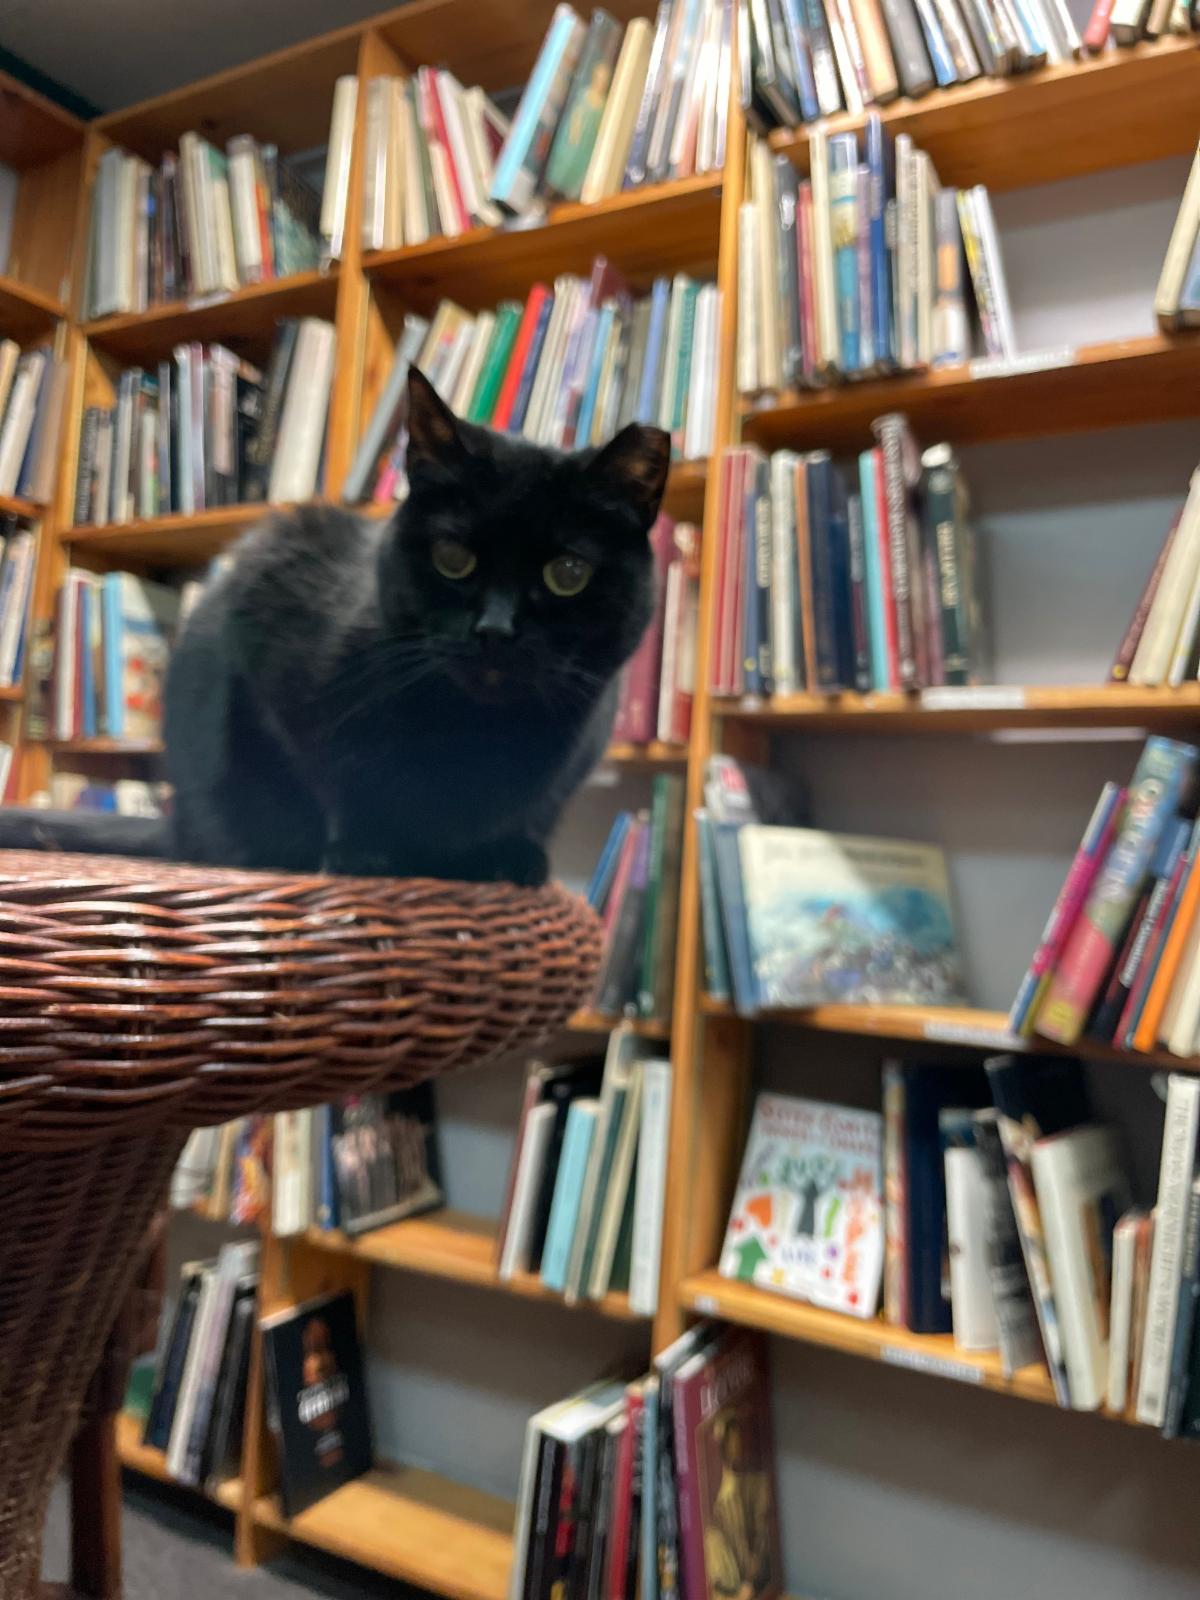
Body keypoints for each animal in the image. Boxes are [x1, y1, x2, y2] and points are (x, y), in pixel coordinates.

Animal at [162, 368, 670, 885]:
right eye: (452, 558)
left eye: (568, 574)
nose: (494, 629)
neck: (472, 731)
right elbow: (332, 780)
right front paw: (360, 851)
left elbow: (529, 810)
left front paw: (511, 856)